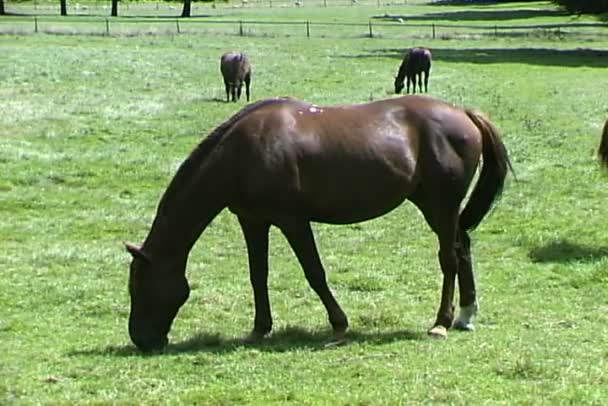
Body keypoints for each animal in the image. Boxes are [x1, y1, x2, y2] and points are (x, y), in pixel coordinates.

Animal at [126, 95, 510, 352]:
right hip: (438, 208)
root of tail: (465, 114)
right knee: (462, 248)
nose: (142, 340)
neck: (244, 152)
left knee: (449, 258)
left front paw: (339, 324)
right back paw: (466, 315)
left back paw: (441, 323)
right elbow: (257, 274)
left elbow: (314, 272)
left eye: (141, 287)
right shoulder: (253, 221)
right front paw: (260, 328)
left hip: (440, 206)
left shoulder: (293, 221)